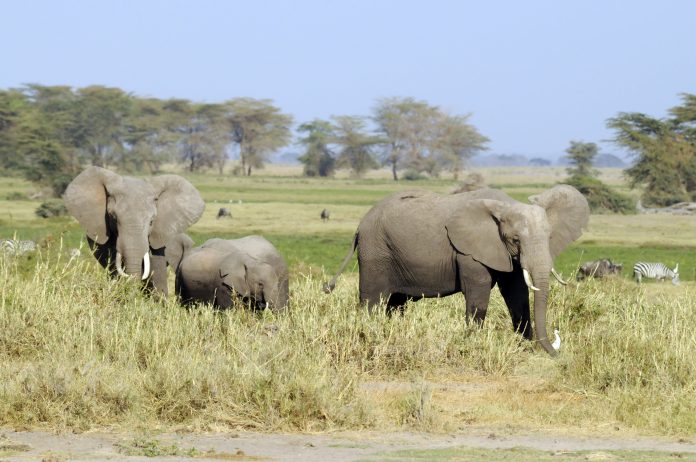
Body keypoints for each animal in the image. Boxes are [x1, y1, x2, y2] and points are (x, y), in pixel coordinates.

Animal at [324, 186, 588, 356]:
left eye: (549, 237)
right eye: (515, 240)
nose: (556, 350)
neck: (505, 206)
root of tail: (359, 226)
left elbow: (517, 294)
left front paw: (523, 347)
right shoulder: (469, 252)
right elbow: (478, 296)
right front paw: (473, 345)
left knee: (395, 304)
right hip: (376, 253)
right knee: (372, 301)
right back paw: (369, 335)